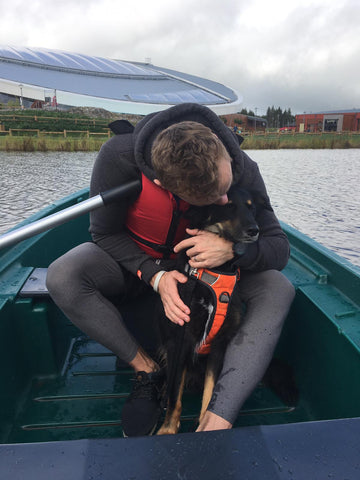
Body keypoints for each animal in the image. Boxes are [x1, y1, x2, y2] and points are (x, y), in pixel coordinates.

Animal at [156, 186, 272, 434]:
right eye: (228, 205)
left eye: (252, 207)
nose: (254, 230)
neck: (215, 272)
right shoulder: (181, 340)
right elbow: (174, 395)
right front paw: (168, 428)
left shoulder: (219, 344)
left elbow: (210, 393)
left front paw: (206, 427)